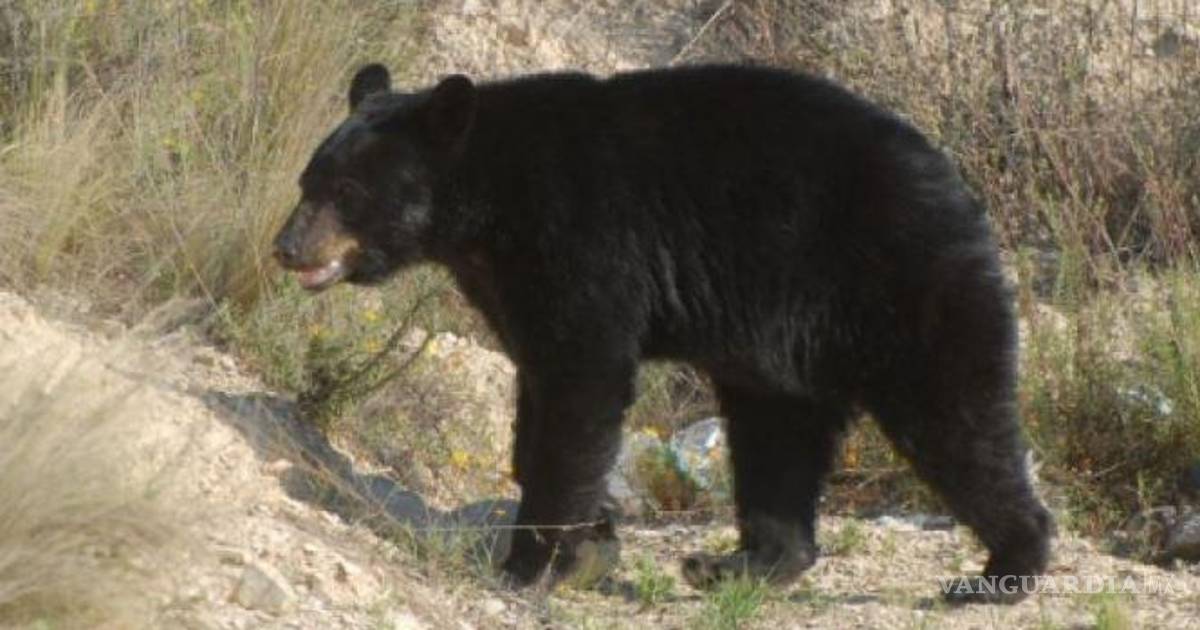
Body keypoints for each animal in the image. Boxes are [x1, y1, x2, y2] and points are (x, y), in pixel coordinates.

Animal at [272, 62, 1054, 603]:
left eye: (347, 192)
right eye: (307, 181)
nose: (287, 247)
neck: (487, 205)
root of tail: (961, 189)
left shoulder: (583, 239)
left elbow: (582, 387)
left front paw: (531, 563)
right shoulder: (511, 285)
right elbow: (537, 390)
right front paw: (591, 536)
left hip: (901, 287)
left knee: (959, 423)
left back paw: (1004, 569)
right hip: (783, 350)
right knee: (778, 439)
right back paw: (738, 563)